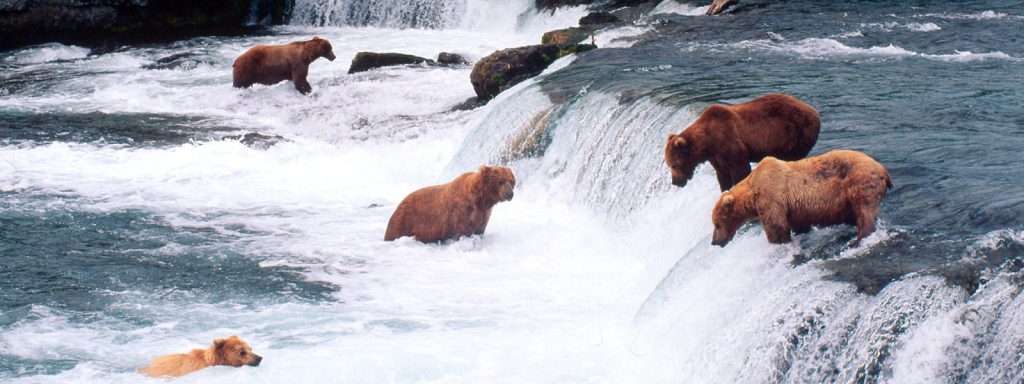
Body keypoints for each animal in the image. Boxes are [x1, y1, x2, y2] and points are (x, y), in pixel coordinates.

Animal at [385, 165, 516, 243]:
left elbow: (479, 230)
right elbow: (462, 232)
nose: (510, 194)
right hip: (404, 222)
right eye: (501, 181)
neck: (480, 200)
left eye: (511, 181)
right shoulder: (461, 213)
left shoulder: (483, 214)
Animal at [663, 93, 823, 192]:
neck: (708, 142)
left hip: (794, 134)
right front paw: (725, 190)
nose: (675, 182)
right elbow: (722, 175)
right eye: (669, 165)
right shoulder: (716, 157)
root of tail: (814, 111)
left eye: (674, 164)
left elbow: (740, 170)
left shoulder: (730, 142)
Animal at [712, 148, 888, 247]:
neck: (752, 189)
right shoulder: (794, 209)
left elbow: (776, 226)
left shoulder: (771, 194)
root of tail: (883, 170)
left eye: (717, 223)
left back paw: (857, 240)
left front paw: (778, 242)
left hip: (860, 183)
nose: (714, 242)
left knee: (865, 212)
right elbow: (799, 225)